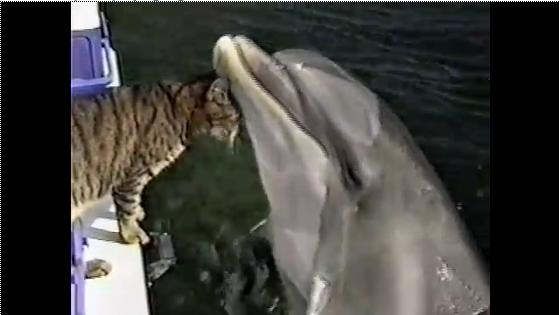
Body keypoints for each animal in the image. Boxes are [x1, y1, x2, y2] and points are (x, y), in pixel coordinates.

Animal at [71, 73, 240, 278]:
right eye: (232, 124)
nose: (232, 150)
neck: (178, 112)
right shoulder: (132, 175)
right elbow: (127, 208)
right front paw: (131, 234)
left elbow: (133, 204)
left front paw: (138, 212)